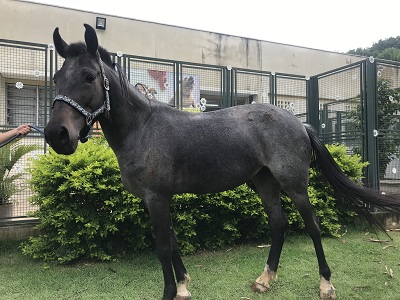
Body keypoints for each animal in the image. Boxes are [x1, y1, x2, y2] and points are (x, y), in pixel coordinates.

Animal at [43, 24, 400, 298]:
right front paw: (184, 286)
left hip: (295, 183)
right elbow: (173, 241)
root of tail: (301, 124)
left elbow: (162, 247)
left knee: (312, 226)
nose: (57, 134)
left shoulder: (156, 198)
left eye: (90, 76)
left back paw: (326, 284)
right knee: (278, 223)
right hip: (264, 181)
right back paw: (265, 279)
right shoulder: (157, 199)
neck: (142, 128)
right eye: (56, 78)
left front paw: (172, 291)